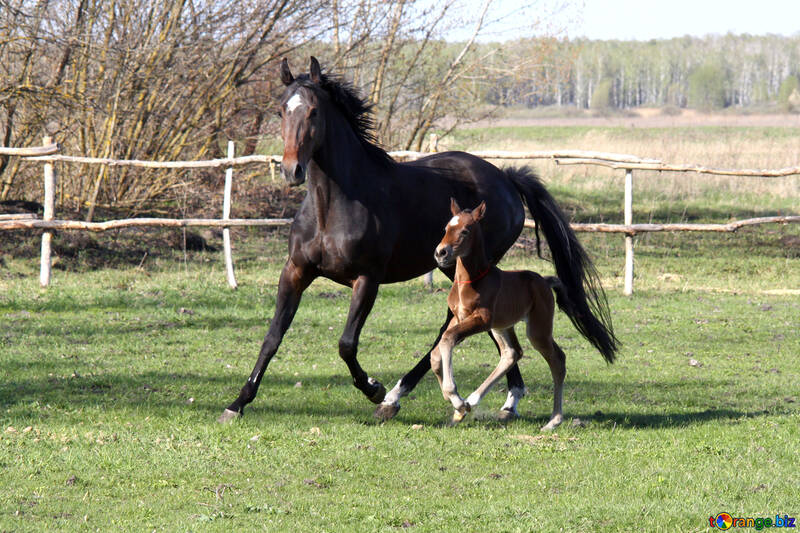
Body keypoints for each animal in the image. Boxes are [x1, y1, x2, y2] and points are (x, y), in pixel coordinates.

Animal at [432, 200, 608, 428]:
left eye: (465, 231)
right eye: (446, 228)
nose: (441, 253)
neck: (471, 281)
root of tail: (545, 281)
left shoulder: (481, 319)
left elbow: (448, 339)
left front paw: (456, 399)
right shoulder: (458, 317)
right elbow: (436, 355)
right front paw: (459, 406)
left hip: (537, 330)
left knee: (557, 359)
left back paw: (554, 420)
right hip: (502, 326)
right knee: (512, 353)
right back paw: (471, 400)